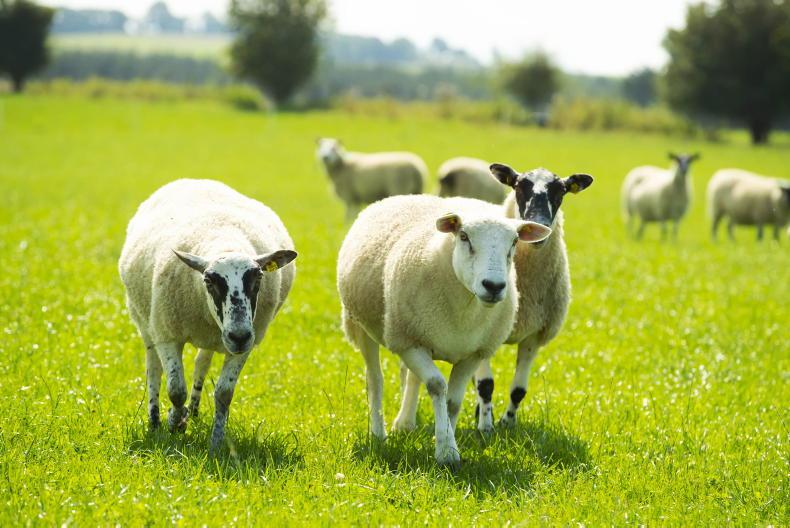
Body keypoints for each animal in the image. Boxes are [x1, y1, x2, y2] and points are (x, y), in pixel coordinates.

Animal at [119, 179, 297, 451]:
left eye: (258, 279)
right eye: (209, 281)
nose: (238, 335)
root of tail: (194, 180)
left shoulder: (245, 344)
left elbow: (224, 394)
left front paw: (216, 443)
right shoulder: (167, 334)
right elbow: (175, 389)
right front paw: (174, 422)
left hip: (213, 339)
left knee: (201, 362)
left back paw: (193, 411)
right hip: (146, 322)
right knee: (153, 368)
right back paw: (155, 421)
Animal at [337, 194, 551, 467]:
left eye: (514, 241)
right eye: (464, 236)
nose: (493, 286)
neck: (465, 308)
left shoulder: (474, 352)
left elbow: (453, 401)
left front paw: (449, 441)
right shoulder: (407, 342)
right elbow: (437, 385)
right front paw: (446, 452)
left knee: (412, 378)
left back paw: (405, 424)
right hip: (360, 324)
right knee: (375, 380)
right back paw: (378, 433)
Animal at [395, 165, 594, 433]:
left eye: (561, 191)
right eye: (519, 186)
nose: (539, 224)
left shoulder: (533, 336)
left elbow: (518, 390)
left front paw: (507, 423)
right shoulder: (483, 333)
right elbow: (486, 385)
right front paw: (486, 428)